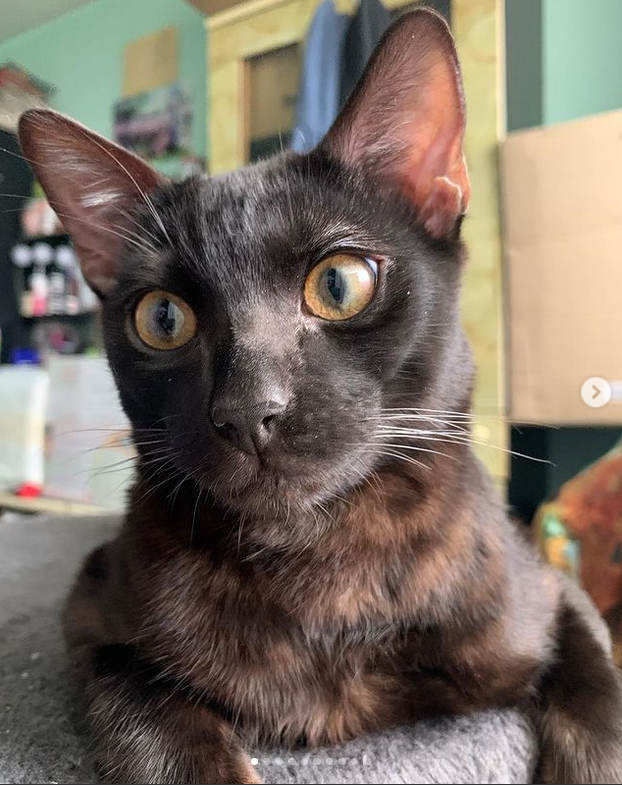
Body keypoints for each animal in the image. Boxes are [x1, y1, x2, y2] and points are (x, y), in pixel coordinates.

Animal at [19, 9, 622, 784]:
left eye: (339, 284)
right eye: (162, 318)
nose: (248, 409)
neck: (326, 577)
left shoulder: (556, 594)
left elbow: (602, 698)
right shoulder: (96, 615)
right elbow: (152, 720)